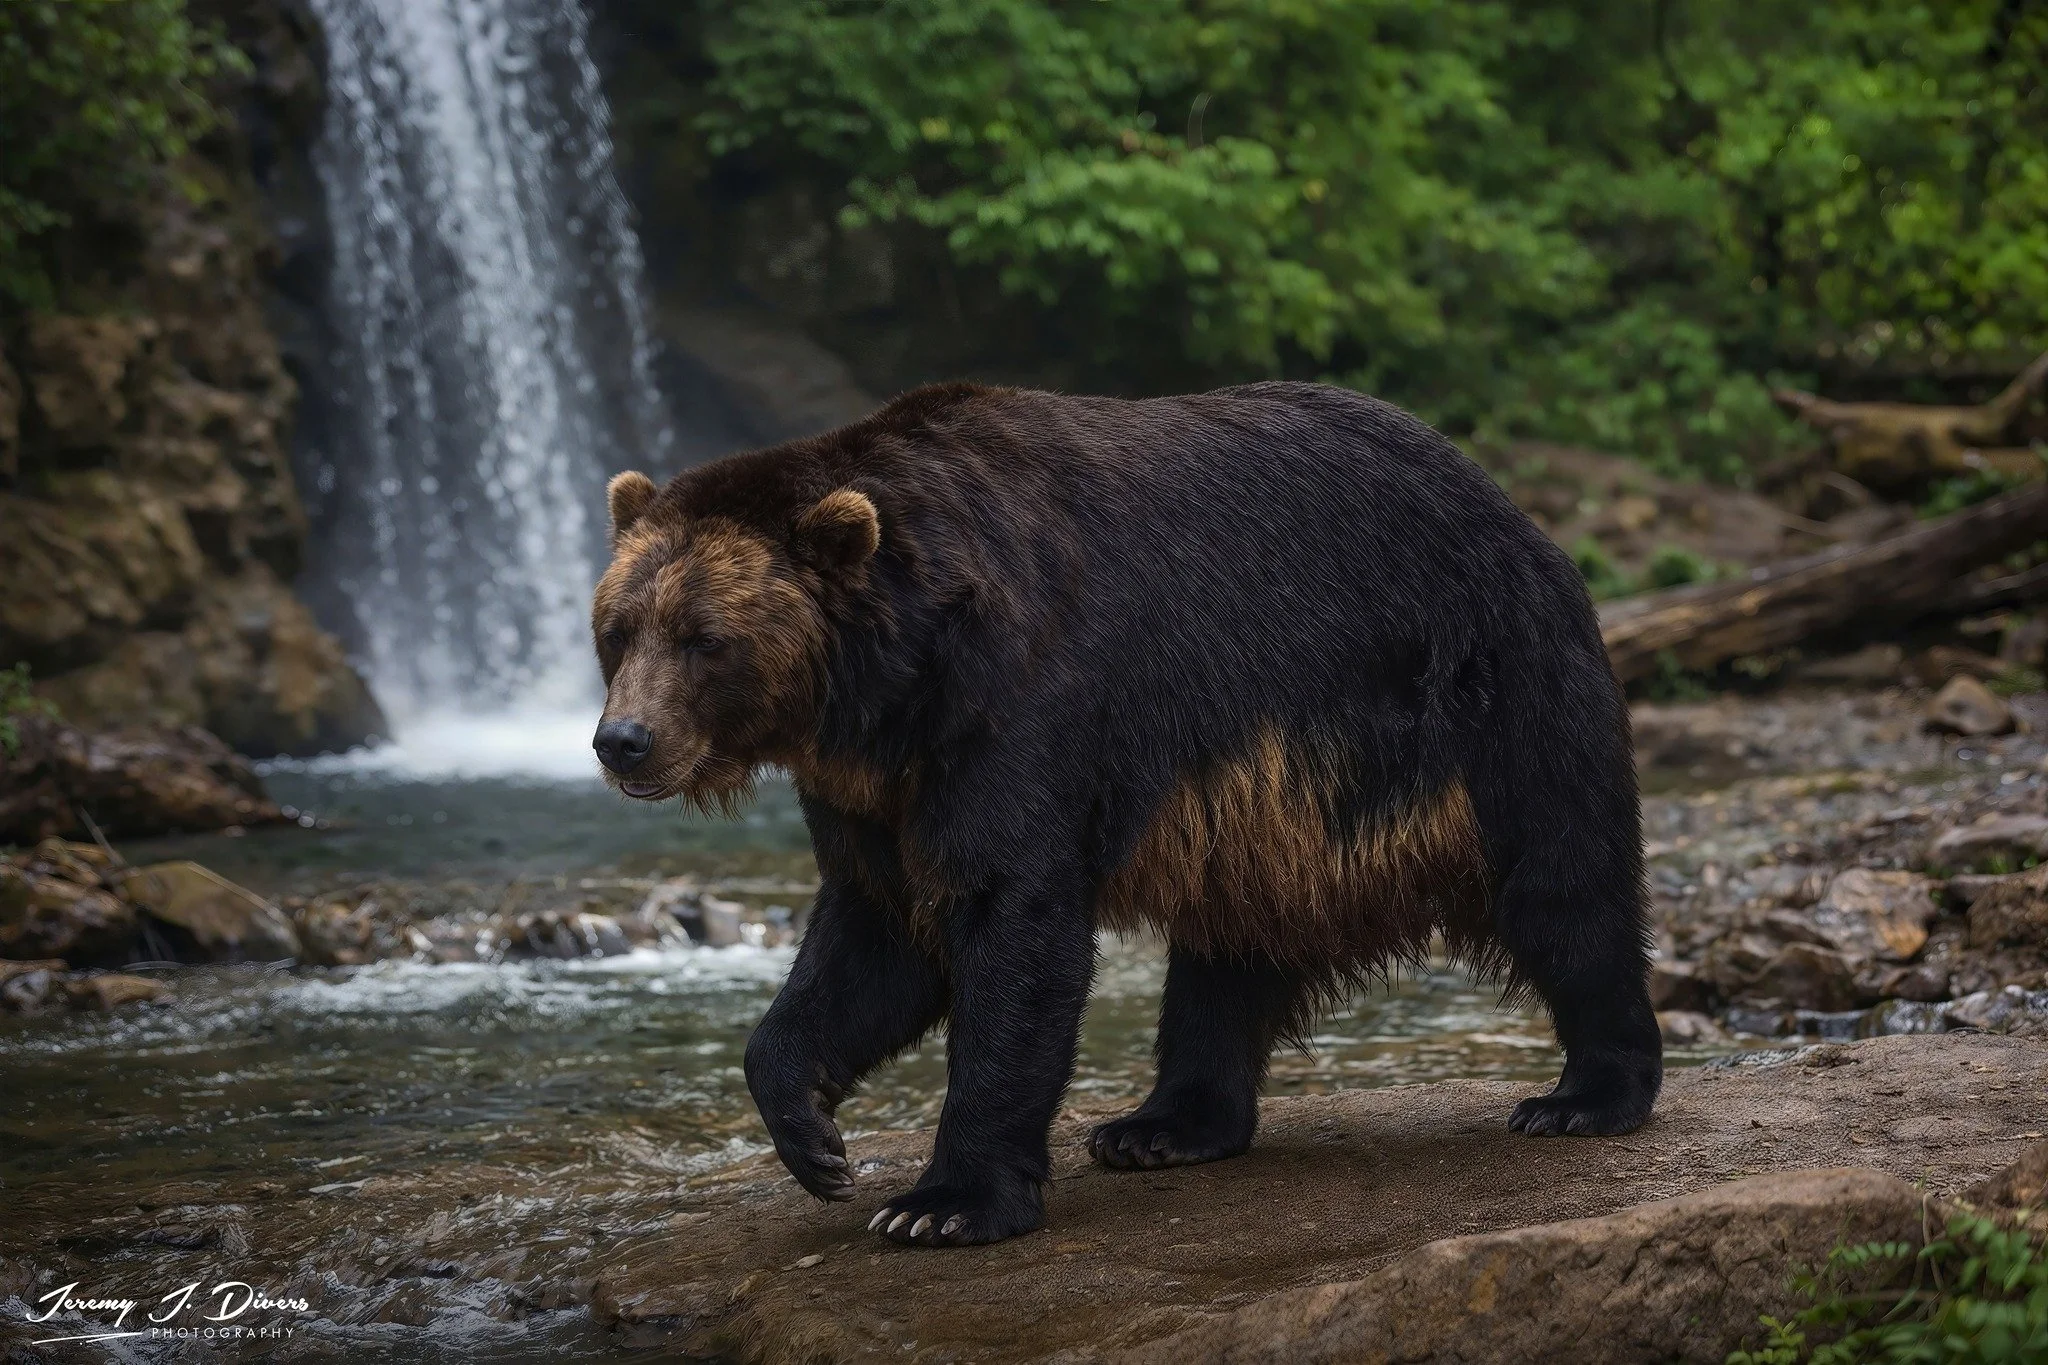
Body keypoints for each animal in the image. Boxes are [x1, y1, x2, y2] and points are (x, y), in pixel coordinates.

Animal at [590, 380, 1661, 1248]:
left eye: (703, 637)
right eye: (618, 628)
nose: (622, 739)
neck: (891, 685)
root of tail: (1513, 507)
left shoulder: (1023, 705)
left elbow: (1010, 923)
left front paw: (942, 1202)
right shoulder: (877, 788)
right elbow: (877, 937)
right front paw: (812, 1133)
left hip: (1490, 691)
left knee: (1560, 883)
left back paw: (1587, 1096)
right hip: (1268, 813)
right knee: (1229, 948)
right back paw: (1164, 1123)